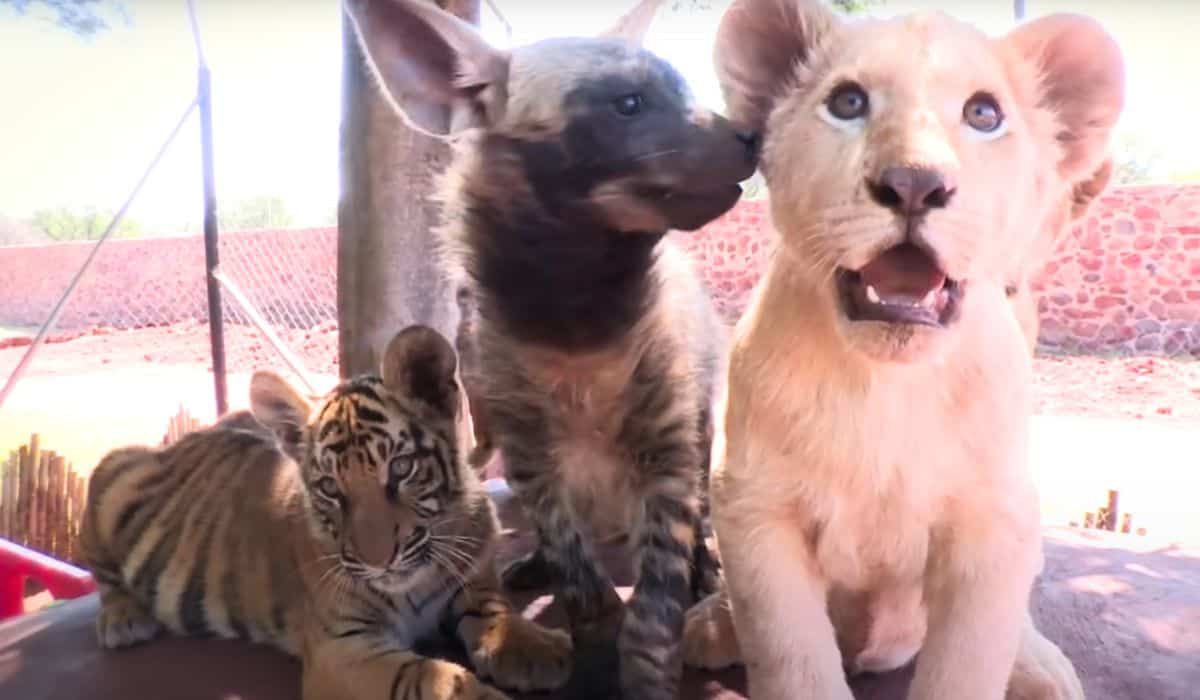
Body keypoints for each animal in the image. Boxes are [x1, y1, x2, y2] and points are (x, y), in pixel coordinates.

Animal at [79, 325, 572, 700]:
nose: (380, 562)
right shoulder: (343, 649)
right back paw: (124, 619)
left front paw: (536, 649)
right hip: (113, 473)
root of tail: (181, 440)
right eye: (331, 488)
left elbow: (496, 611)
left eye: (401, 468)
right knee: (104, 576)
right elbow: (430, 678)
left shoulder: (473, 581)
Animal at [681, 1, 1124, 699]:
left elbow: (970, 660)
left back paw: (1041, 669)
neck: (887, 386)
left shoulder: (992, 521)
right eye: (848, 101)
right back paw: (711, 624)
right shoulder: (755, 508)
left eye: (984, 114)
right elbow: (792, 655)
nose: (914, 184)